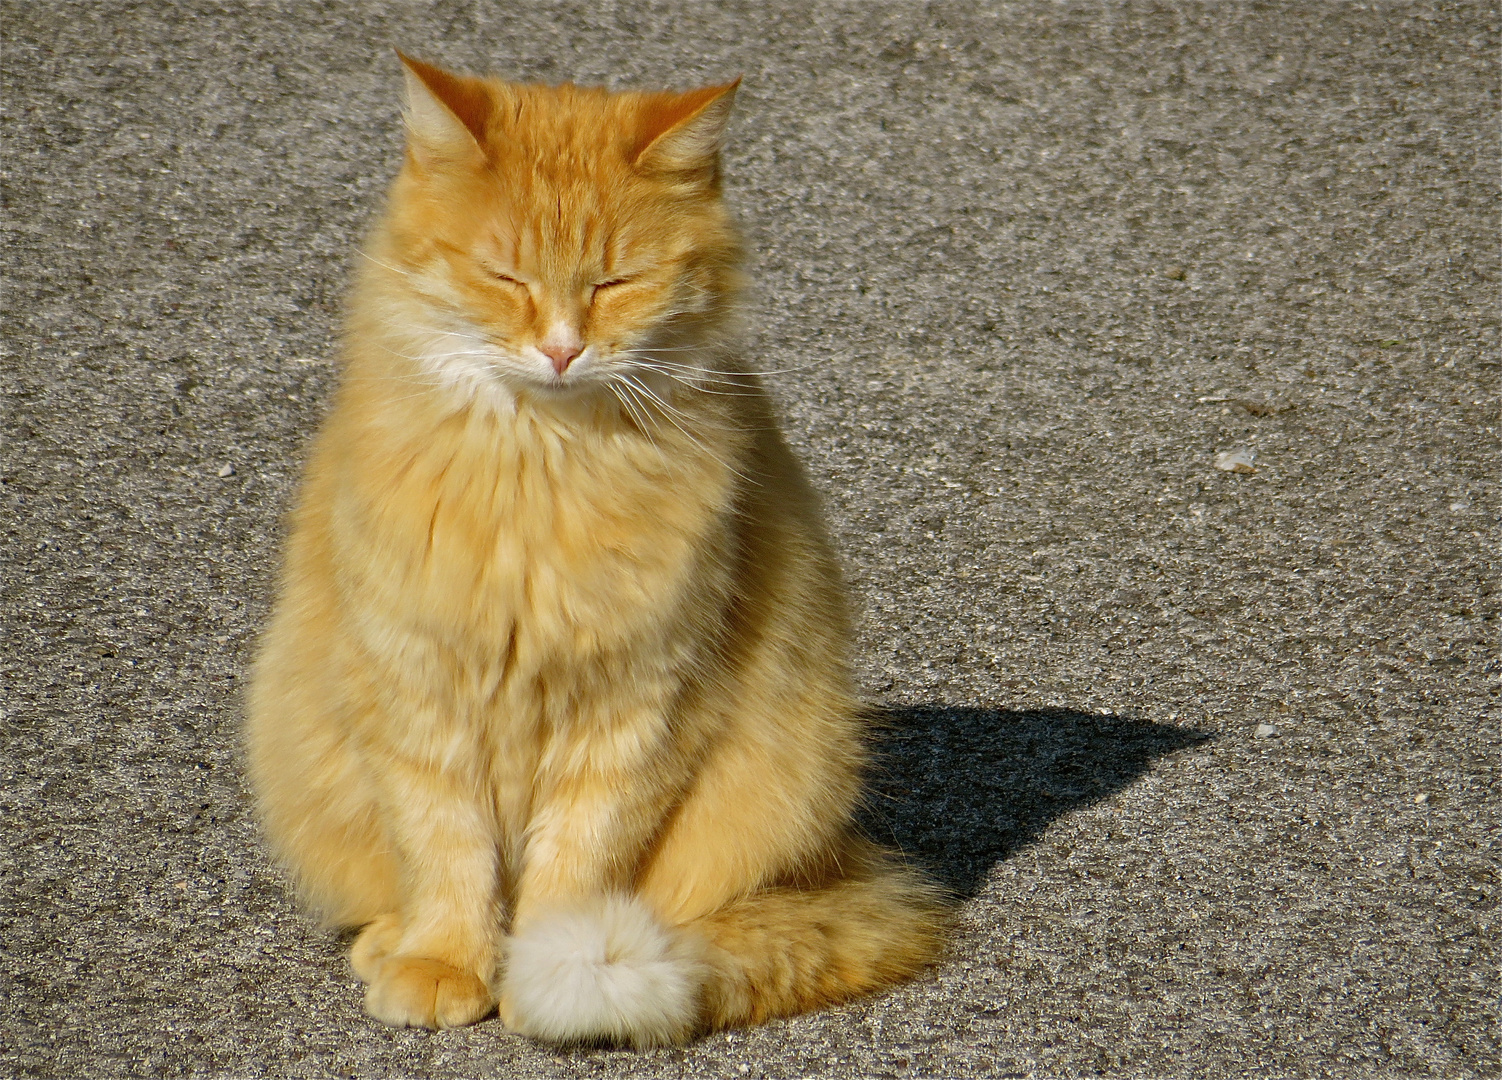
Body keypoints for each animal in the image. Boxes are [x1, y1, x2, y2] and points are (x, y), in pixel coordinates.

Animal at [247, 54, 943, 1045]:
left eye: (617, 283)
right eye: (505, 276)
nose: (562, 350)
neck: (541, 472)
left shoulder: (636, 708)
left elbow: (575, 867)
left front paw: (542, 974)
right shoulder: (418, 695)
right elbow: (447, 851)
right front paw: (445, 960)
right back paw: (392, 943)